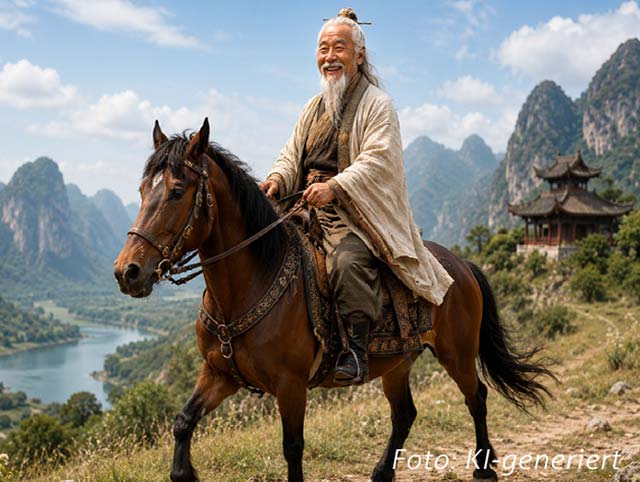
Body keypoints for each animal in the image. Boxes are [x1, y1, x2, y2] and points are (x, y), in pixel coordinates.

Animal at [114, 118, 555, 482]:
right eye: (142, 191)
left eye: (176, 192)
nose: (127, 272)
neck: (249, 284)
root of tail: (461, 265)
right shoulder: (219, 374)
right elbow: (182, 422)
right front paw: (184, 470)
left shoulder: (291, 385)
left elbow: (292, 449)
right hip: (399, 362)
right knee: (404, 414)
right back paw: (382, 474)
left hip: (457, 352)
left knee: (476, 397)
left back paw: (484, 468)